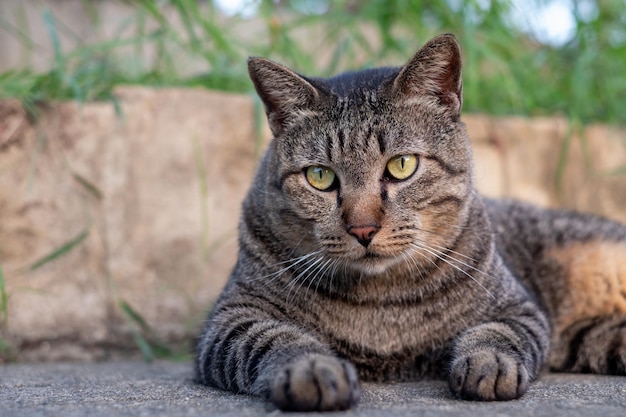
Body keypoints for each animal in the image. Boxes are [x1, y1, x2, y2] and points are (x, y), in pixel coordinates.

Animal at [195, 34, 624, 412]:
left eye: (402, 166)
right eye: (320, 176)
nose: (363, 229)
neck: (381, 303)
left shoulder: (518, 307)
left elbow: (496, 334)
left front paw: (488, 364)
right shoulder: (231, 318)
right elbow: (277, 339)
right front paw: (312, 369)